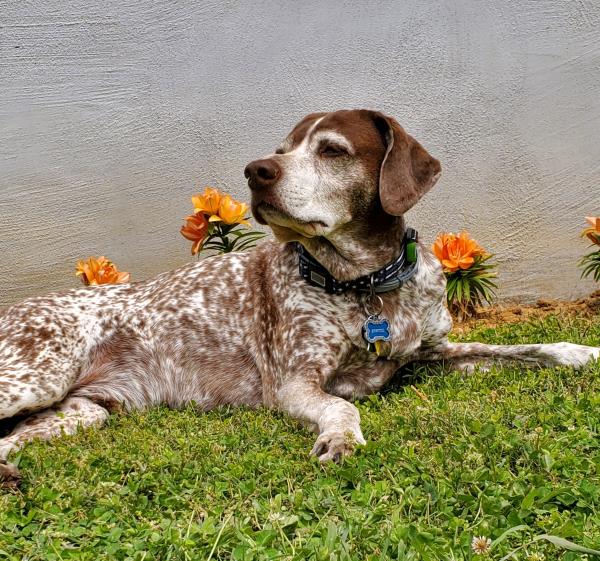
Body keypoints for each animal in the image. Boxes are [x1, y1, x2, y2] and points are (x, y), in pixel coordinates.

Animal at [1, 109, 600, 486]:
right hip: (37, 375)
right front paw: (341, 439)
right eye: (283, 149)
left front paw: (582, 352)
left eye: (331, 150)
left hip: (83, 413)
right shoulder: (295, 383)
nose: (255, 171)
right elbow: (340, 406)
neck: (367, 287)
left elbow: (527, 349)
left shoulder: (433, 354)